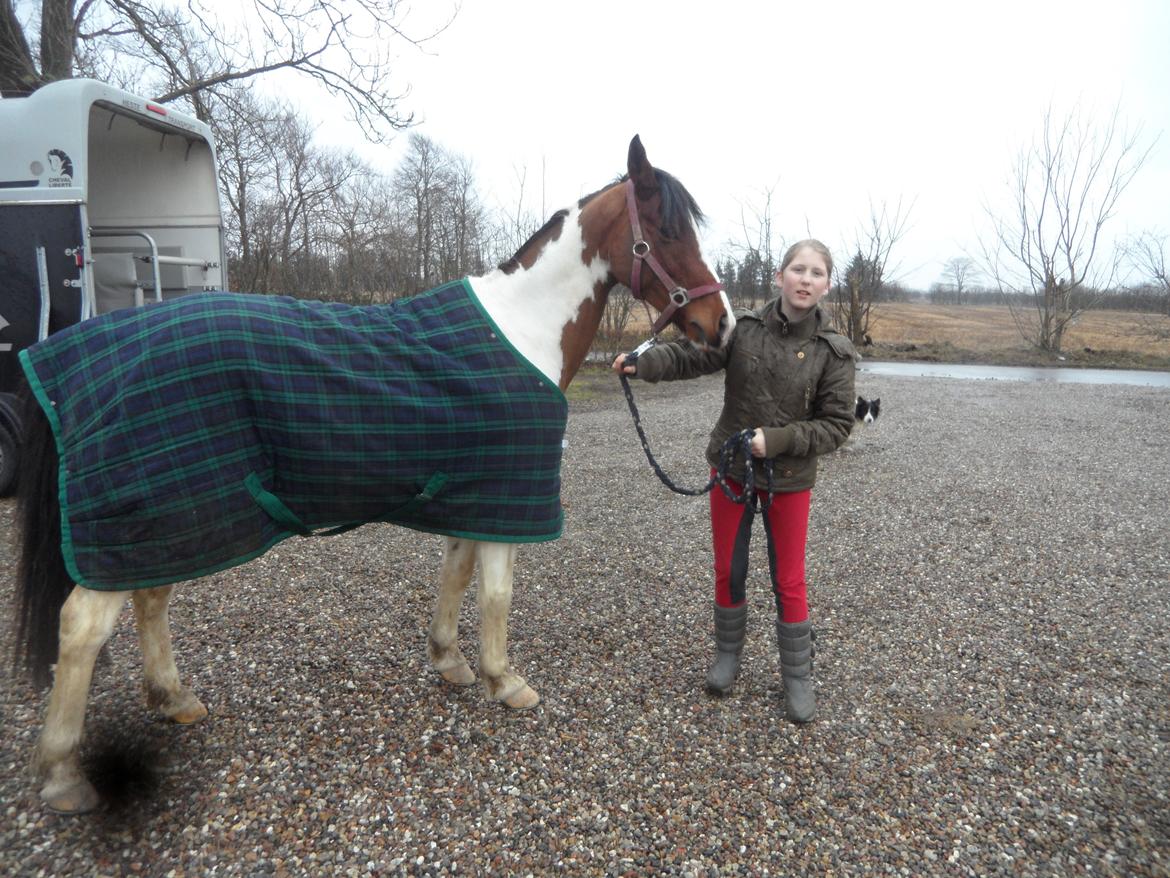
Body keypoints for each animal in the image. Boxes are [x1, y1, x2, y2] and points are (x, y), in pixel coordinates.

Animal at [10, 135, 735, 814]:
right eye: (668, 229)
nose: (719, 324)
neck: (521, 331)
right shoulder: (509, 497)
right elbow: (496, 595)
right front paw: (506, 682)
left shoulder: (475, 491)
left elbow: (456, 575)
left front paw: (450, 661)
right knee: (82, 626)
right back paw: (64, 774)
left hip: (172, 515)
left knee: (150, 598)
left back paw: (173, 699)